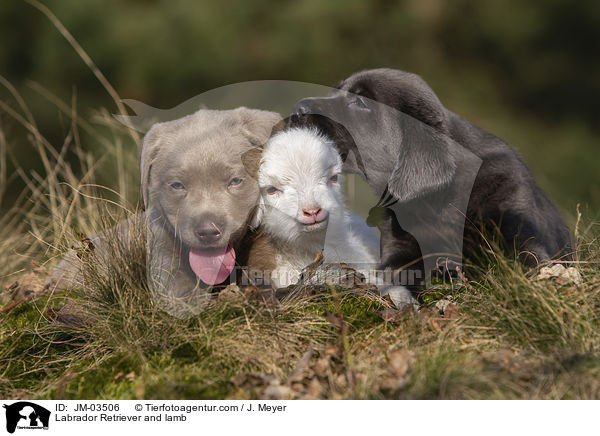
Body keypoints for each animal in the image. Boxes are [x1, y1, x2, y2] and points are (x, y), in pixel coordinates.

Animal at [290, 68, 572, 286]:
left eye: (360, 102)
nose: (297, 108)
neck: (440, 200)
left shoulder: (513, 213)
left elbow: (528, 256)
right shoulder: (398, 244)